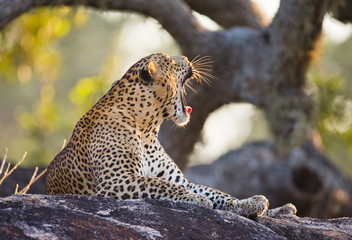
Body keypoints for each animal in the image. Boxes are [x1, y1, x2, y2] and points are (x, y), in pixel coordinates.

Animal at [45, 52, 296, 218]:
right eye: (172, 61)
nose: (185, 56)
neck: (146, 128)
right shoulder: (116, 180)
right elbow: (160, 185)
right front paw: (197, 199)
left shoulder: (177, 179)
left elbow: (216, 193)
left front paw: (247, 204)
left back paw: (279, 208)